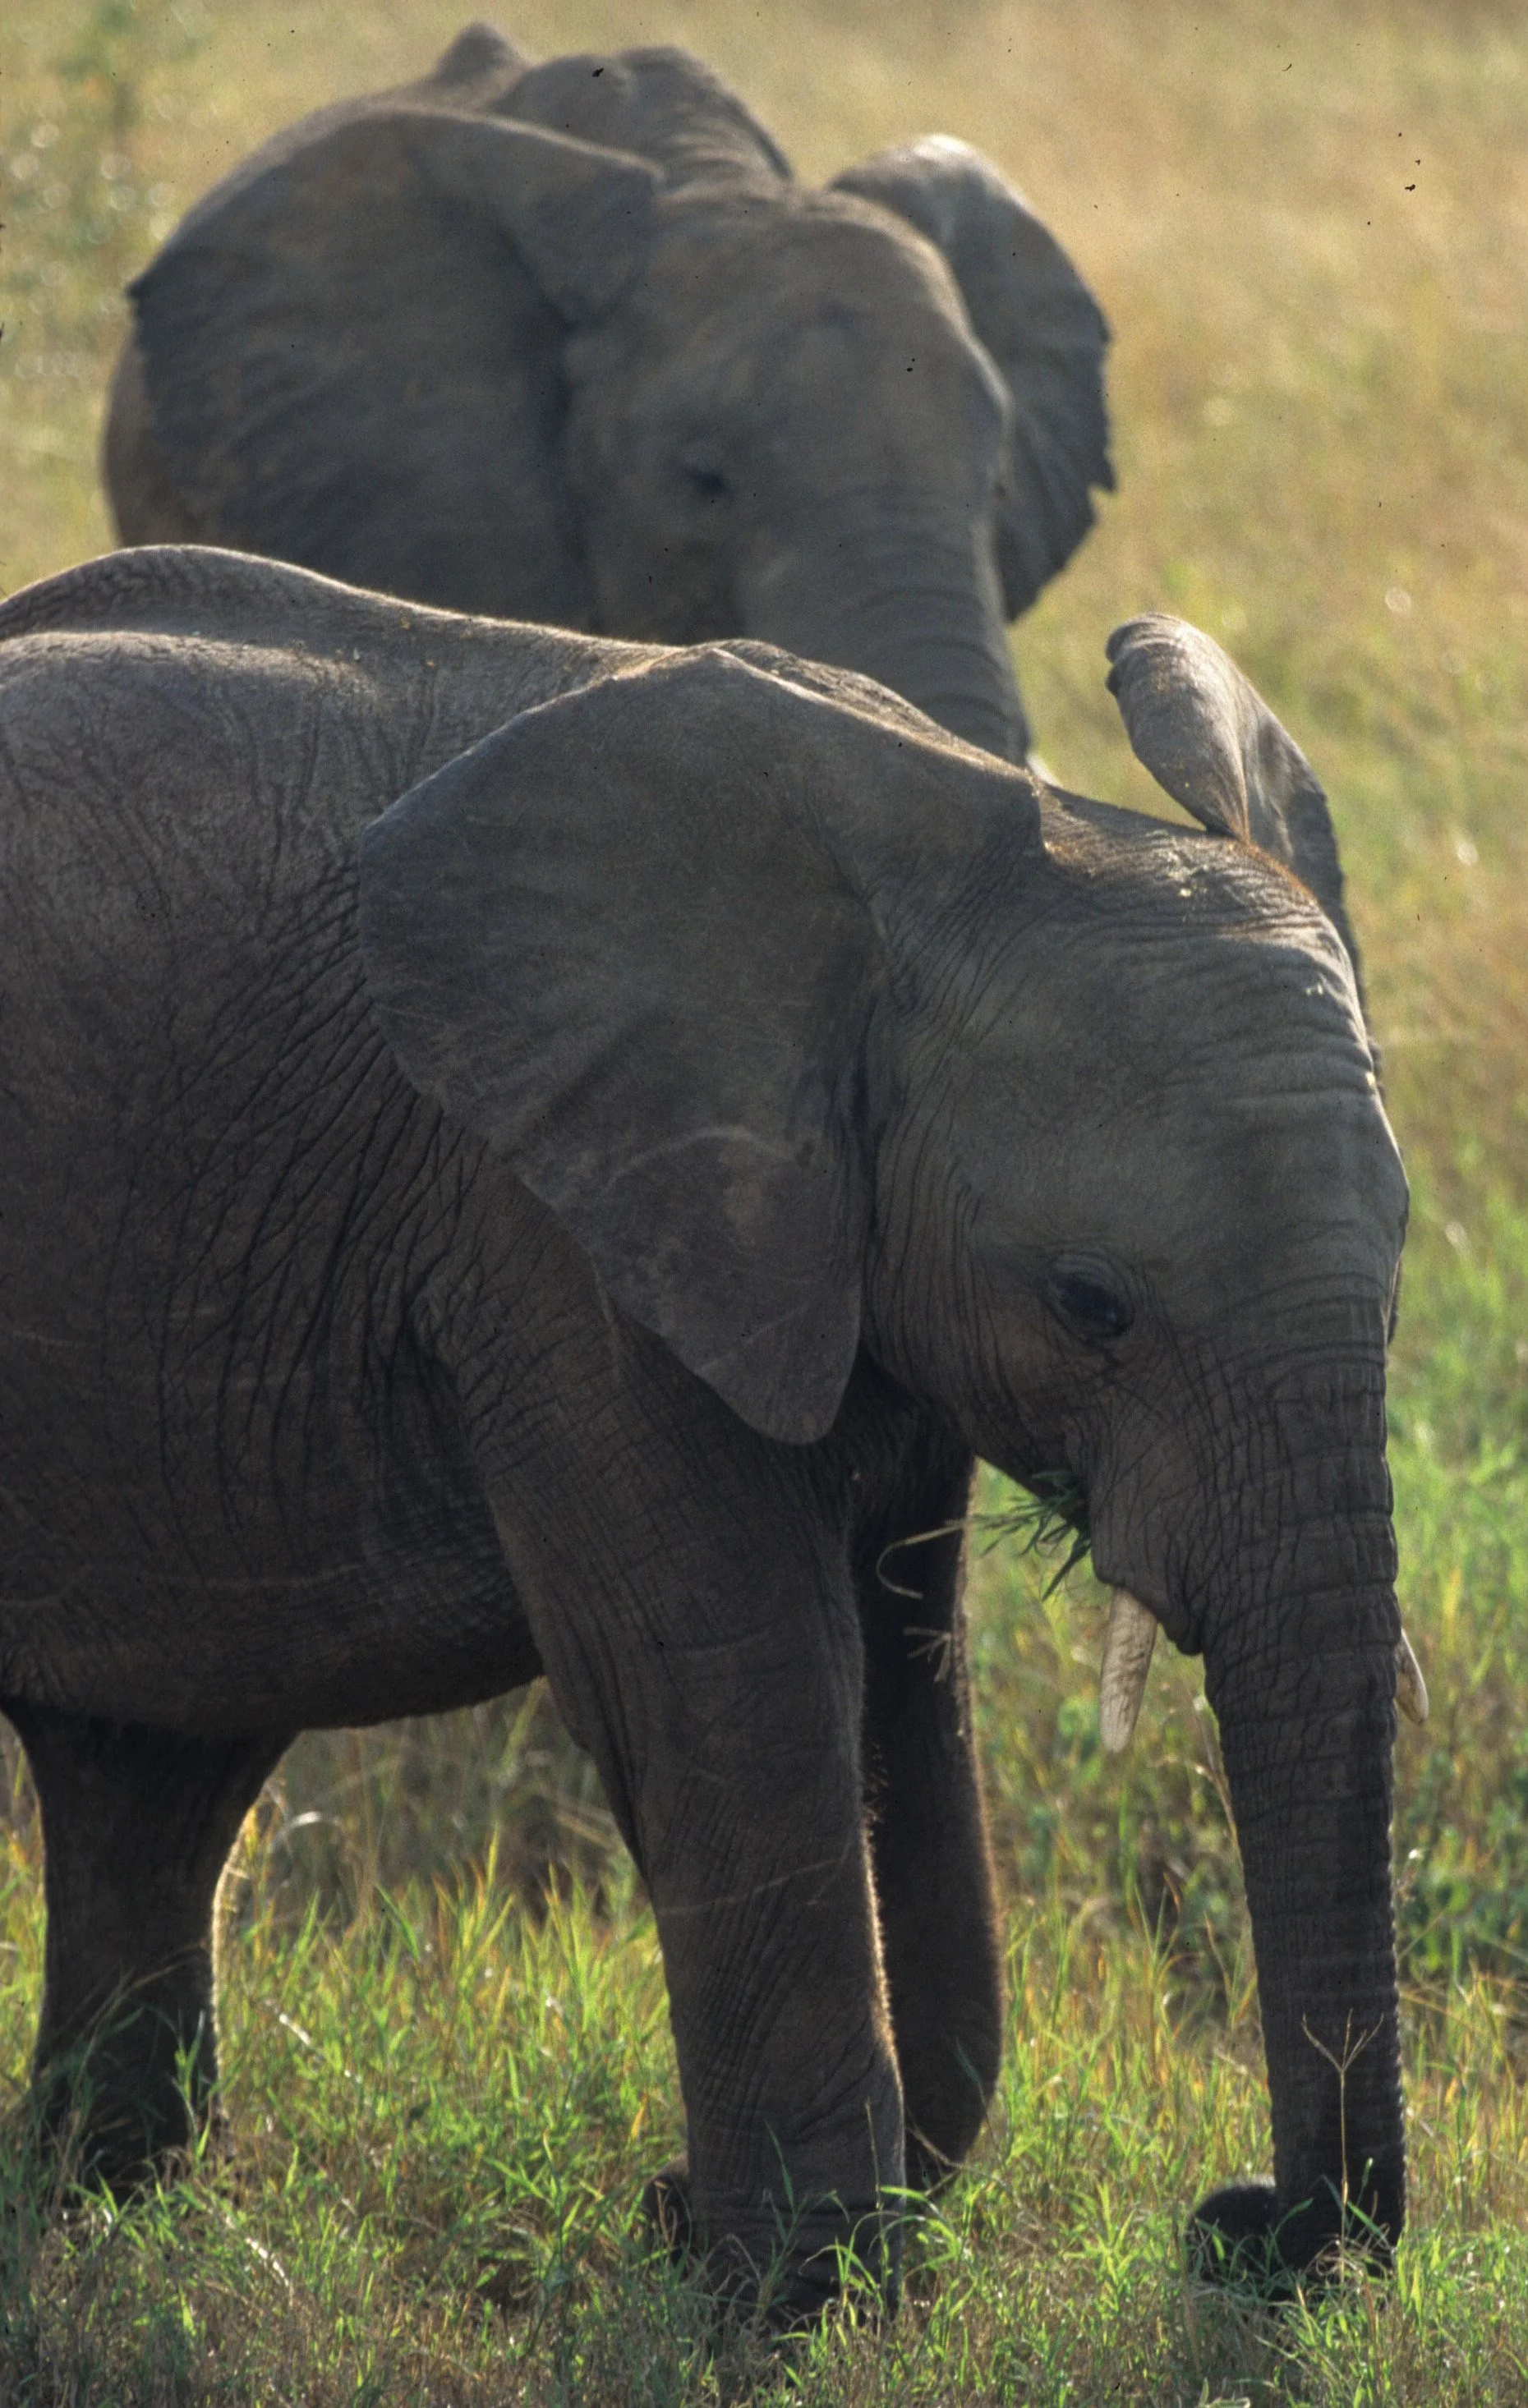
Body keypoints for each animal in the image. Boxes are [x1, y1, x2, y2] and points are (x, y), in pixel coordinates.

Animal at [0, 543, 1415, 2318]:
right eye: (1092, 1302)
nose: (1236, 2223)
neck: (935, 859)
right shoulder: (554, 1224)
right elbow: (729, 1677)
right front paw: (787, 2289)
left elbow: (906, 1675)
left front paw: (780, 2237)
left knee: (149, 1766)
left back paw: (95, 2193)